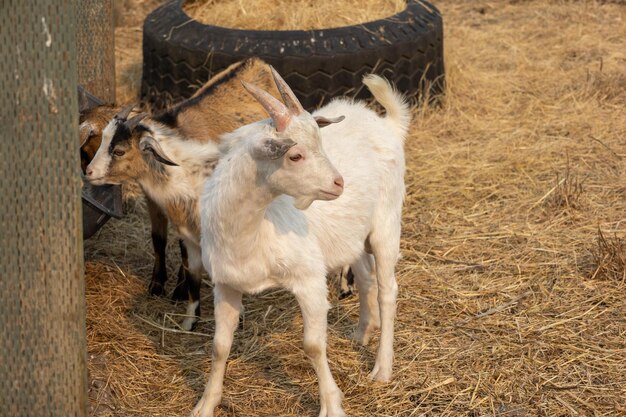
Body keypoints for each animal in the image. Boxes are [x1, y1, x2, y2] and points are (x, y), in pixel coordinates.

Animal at [191, 69, 410, 416]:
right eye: (295, 155)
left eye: (319, 141)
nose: (338, 183)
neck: (254, 230)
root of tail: (387, 125)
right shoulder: (226, 283)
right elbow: (219, 346)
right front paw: (205, 404)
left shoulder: (308, 278)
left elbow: (313, 345)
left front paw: (331, 405)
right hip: (351, 235)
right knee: (365, 276)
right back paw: (362, 332)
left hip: (387, 222)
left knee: (388, 290)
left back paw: (382, 369)